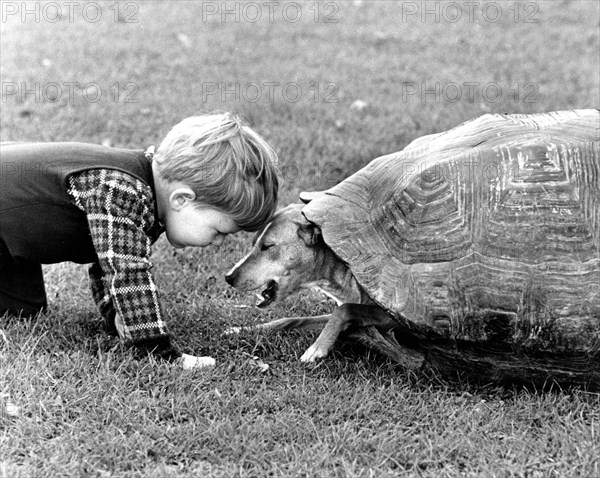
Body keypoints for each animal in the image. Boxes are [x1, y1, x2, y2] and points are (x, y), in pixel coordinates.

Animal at [223, 203, 420, 366]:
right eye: (253, 243)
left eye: (267, 246)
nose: (228, 277)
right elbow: (291, 319)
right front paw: (242, 329)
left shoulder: (398, 318)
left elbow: (345, 309)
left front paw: (317, 347)